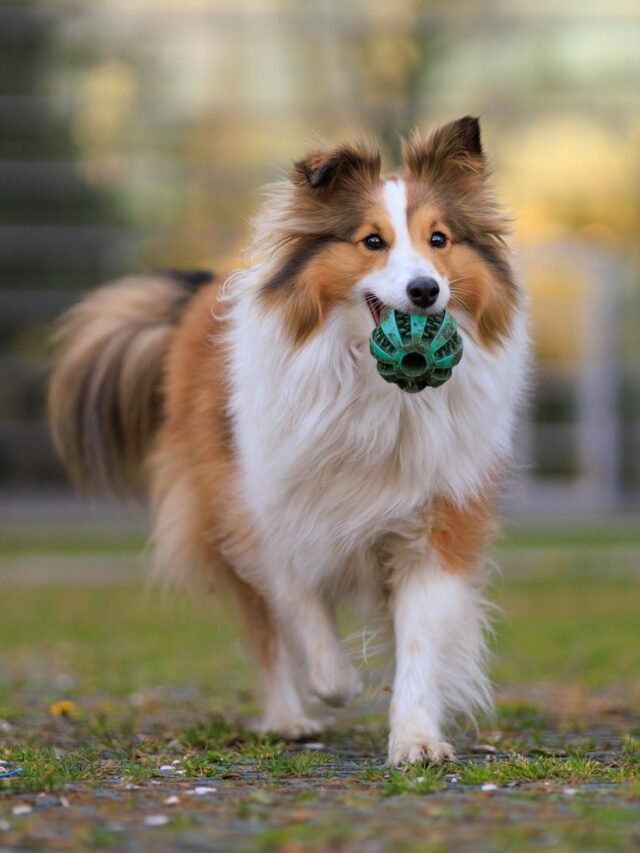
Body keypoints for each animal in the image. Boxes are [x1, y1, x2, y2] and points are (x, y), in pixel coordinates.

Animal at [50, 115, 528, 764]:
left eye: (439, 239)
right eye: (371, 241)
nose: (426, 291)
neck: (373, 392)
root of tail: (198, 292)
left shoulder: (436, 524)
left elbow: (419, 644)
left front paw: (415, 739)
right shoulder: (262, 509)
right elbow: (299, 607)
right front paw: (334, 682)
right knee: (265, 632)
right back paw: (290, 718)